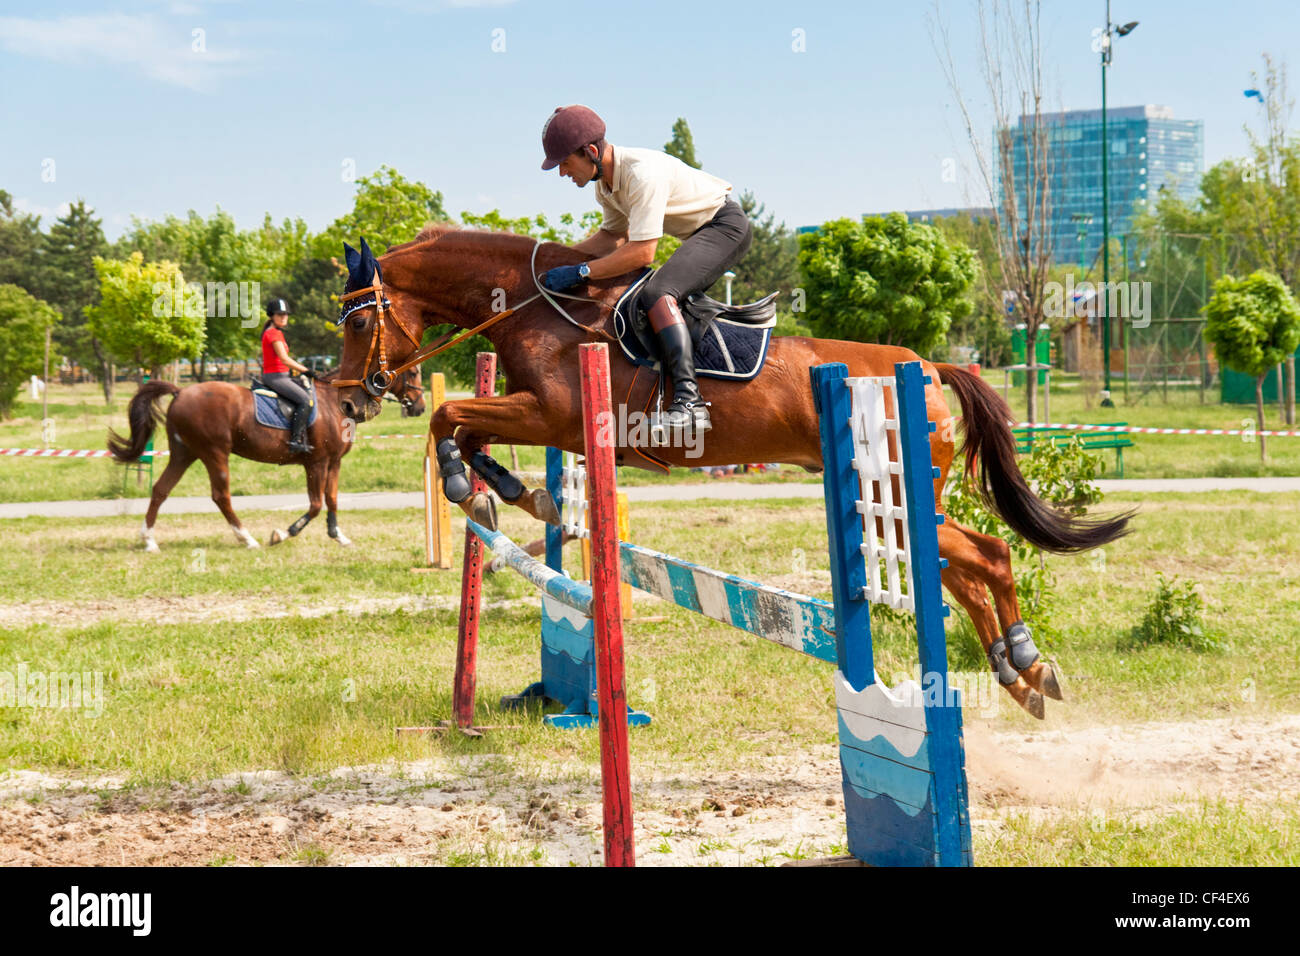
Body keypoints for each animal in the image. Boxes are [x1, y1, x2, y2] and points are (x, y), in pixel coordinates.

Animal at [108, 367, 425, 551]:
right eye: (414, 372)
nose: (420, 406)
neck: (335, 402)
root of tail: (181, 390)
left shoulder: (334, 462)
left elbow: (332, 500)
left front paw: (338, 536)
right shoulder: (317, 463)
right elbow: (315, 504)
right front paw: (282, 534)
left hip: (185, 453)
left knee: (161, 490)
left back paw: (149, 540)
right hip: (214, 453)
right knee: (220, 496)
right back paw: (247, 538)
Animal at [331, 229, 1130, 719]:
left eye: (357, 322)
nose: (350, 399)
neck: (542, 310)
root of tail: (928, 365)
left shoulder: (553, 417)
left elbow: (448, 416)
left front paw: (470, 485)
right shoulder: (541, 420)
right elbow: (463, 425)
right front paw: (505, 491)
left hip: (897, 492)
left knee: (986, 554)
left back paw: (1024, 661)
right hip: (906, 501)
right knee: (962, 566)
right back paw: (1019, 672)